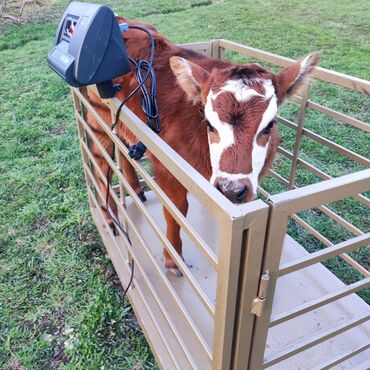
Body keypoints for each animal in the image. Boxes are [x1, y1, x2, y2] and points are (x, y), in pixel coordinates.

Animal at [86, 18, 318, 274]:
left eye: (269, 126)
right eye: (209, 123)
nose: (231, 190)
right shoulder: (168, 169)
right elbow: (176, 211)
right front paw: (173, 260)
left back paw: (135, 188)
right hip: (98, 116)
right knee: (101, 163)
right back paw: (109, 216)